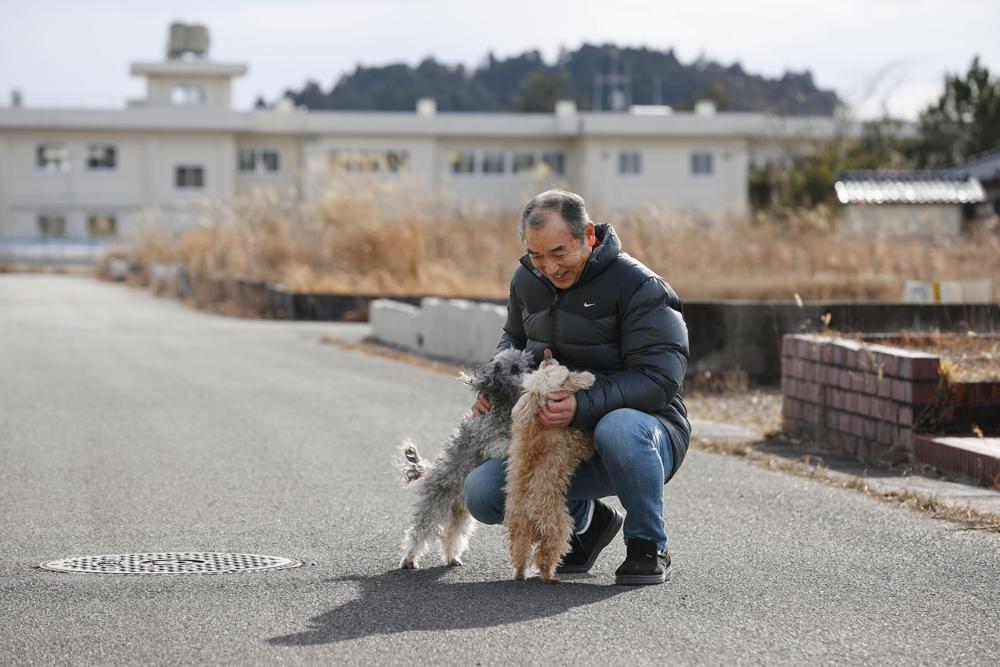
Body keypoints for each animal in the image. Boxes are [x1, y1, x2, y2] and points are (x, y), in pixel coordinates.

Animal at [400, 348, 540, 572]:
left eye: (530, 363)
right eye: (515, 368)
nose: (535, 372)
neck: (504, 407)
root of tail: (430, 471)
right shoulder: (489, 440)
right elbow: (504, 444)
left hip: (461, 514)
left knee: (453, 535)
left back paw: (452, 558)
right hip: (434, 506)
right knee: (419, 532)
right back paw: (409, 559)